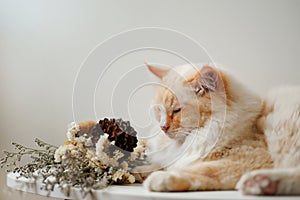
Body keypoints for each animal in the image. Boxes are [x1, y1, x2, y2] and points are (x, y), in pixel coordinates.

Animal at [136, 63, 300, 195]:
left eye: (177, 110)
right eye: (159, 110)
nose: (162, 127)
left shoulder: (250, 158)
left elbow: (201, 170)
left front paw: (160, 179)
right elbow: (160, 164)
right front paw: (138, 170)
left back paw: (259, 183)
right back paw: (264, 184)